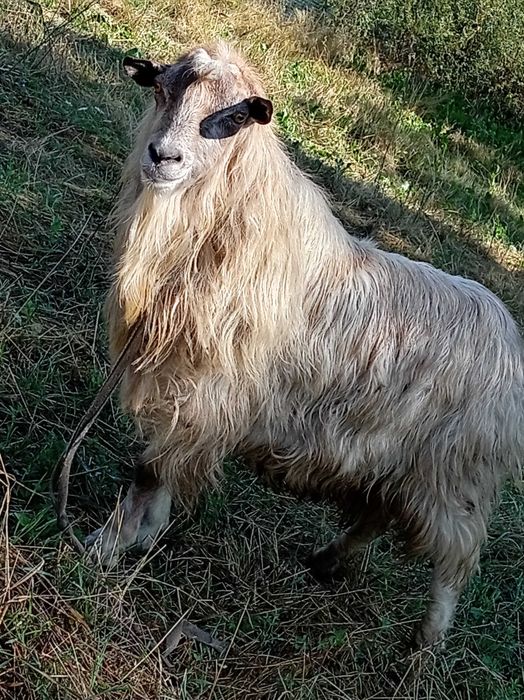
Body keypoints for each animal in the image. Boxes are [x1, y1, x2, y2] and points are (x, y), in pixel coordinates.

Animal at [86, 43, 524, 648]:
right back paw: (327, 561)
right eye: (160, 89)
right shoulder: (187, 396)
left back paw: (427, 641)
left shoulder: (205, 393)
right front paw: (142, 537)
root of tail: (509, 329)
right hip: (397, 466)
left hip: (455, 476)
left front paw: (106, 548)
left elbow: (148, 472)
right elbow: (161, 470)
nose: (162, 156)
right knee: (376, 516)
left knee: (454, 560)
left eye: (235, 118)